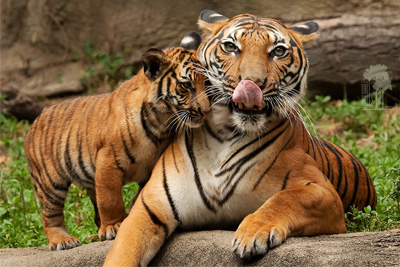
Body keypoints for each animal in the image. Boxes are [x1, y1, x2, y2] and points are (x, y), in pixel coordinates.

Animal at [24, 45, 209, 251]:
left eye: (206, 83)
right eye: (186, 86)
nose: (206, 111)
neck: (162, 122)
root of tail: (38, 118)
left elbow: (138, 199)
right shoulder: (108, 161)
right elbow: (110, 200)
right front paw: (113, 227)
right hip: (50, 181)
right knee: (50, 215)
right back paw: (63, 240)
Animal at [104, 10, 376, 267]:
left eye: (278, 51)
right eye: (231, 47)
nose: (252, 83)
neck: (224, 135)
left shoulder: (322, 191)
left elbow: (285, 199)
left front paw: (252, 233)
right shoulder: (149, 207)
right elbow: (123, 251)